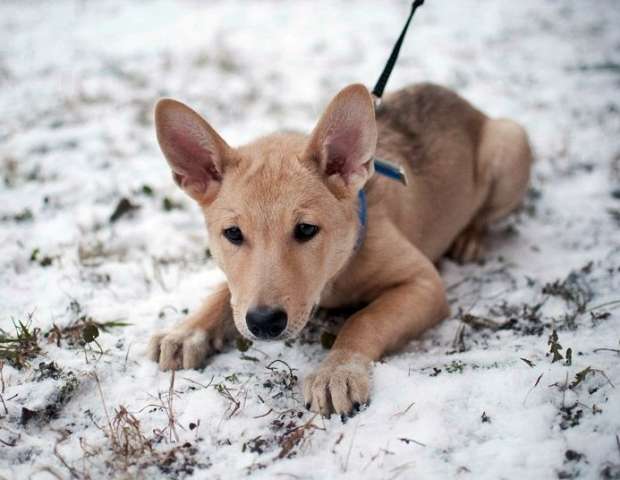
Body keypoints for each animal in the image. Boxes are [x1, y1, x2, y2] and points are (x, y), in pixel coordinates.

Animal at [148, 83, 532, 416]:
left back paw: (470, 236)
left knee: (486, 212)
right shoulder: (242, 290)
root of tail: (466, 105)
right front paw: (187, 332)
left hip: (510, 143)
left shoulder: (424, 283)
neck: (334, 275)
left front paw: (337, 371)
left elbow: (365, 319)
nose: (264, 323)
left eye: (306, 229)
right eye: (233, 233)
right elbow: (224, 293)